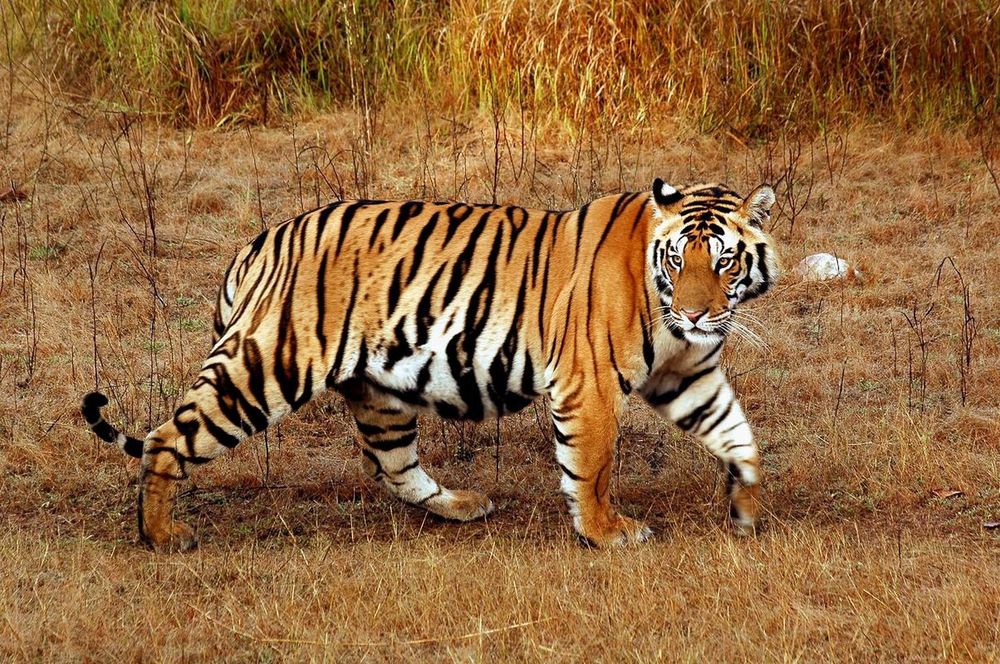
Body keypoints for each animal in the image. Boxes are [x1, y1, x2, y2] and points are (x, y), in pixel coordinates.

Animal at [82, 178, 779, 552]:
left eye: (724, 261)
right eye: (679, 258)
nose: (694, 314)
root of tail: (260, 240)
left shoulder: (688, 376)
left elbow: (740, 438)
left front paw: (745, 509)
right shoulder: (591, 384)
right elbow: (594, 465)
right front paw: (607, 533)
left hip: (378, 391)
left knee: (392, 466)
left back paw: (461, 505)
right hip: (267, 366)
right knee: (167, 438)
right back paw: (161, 536)